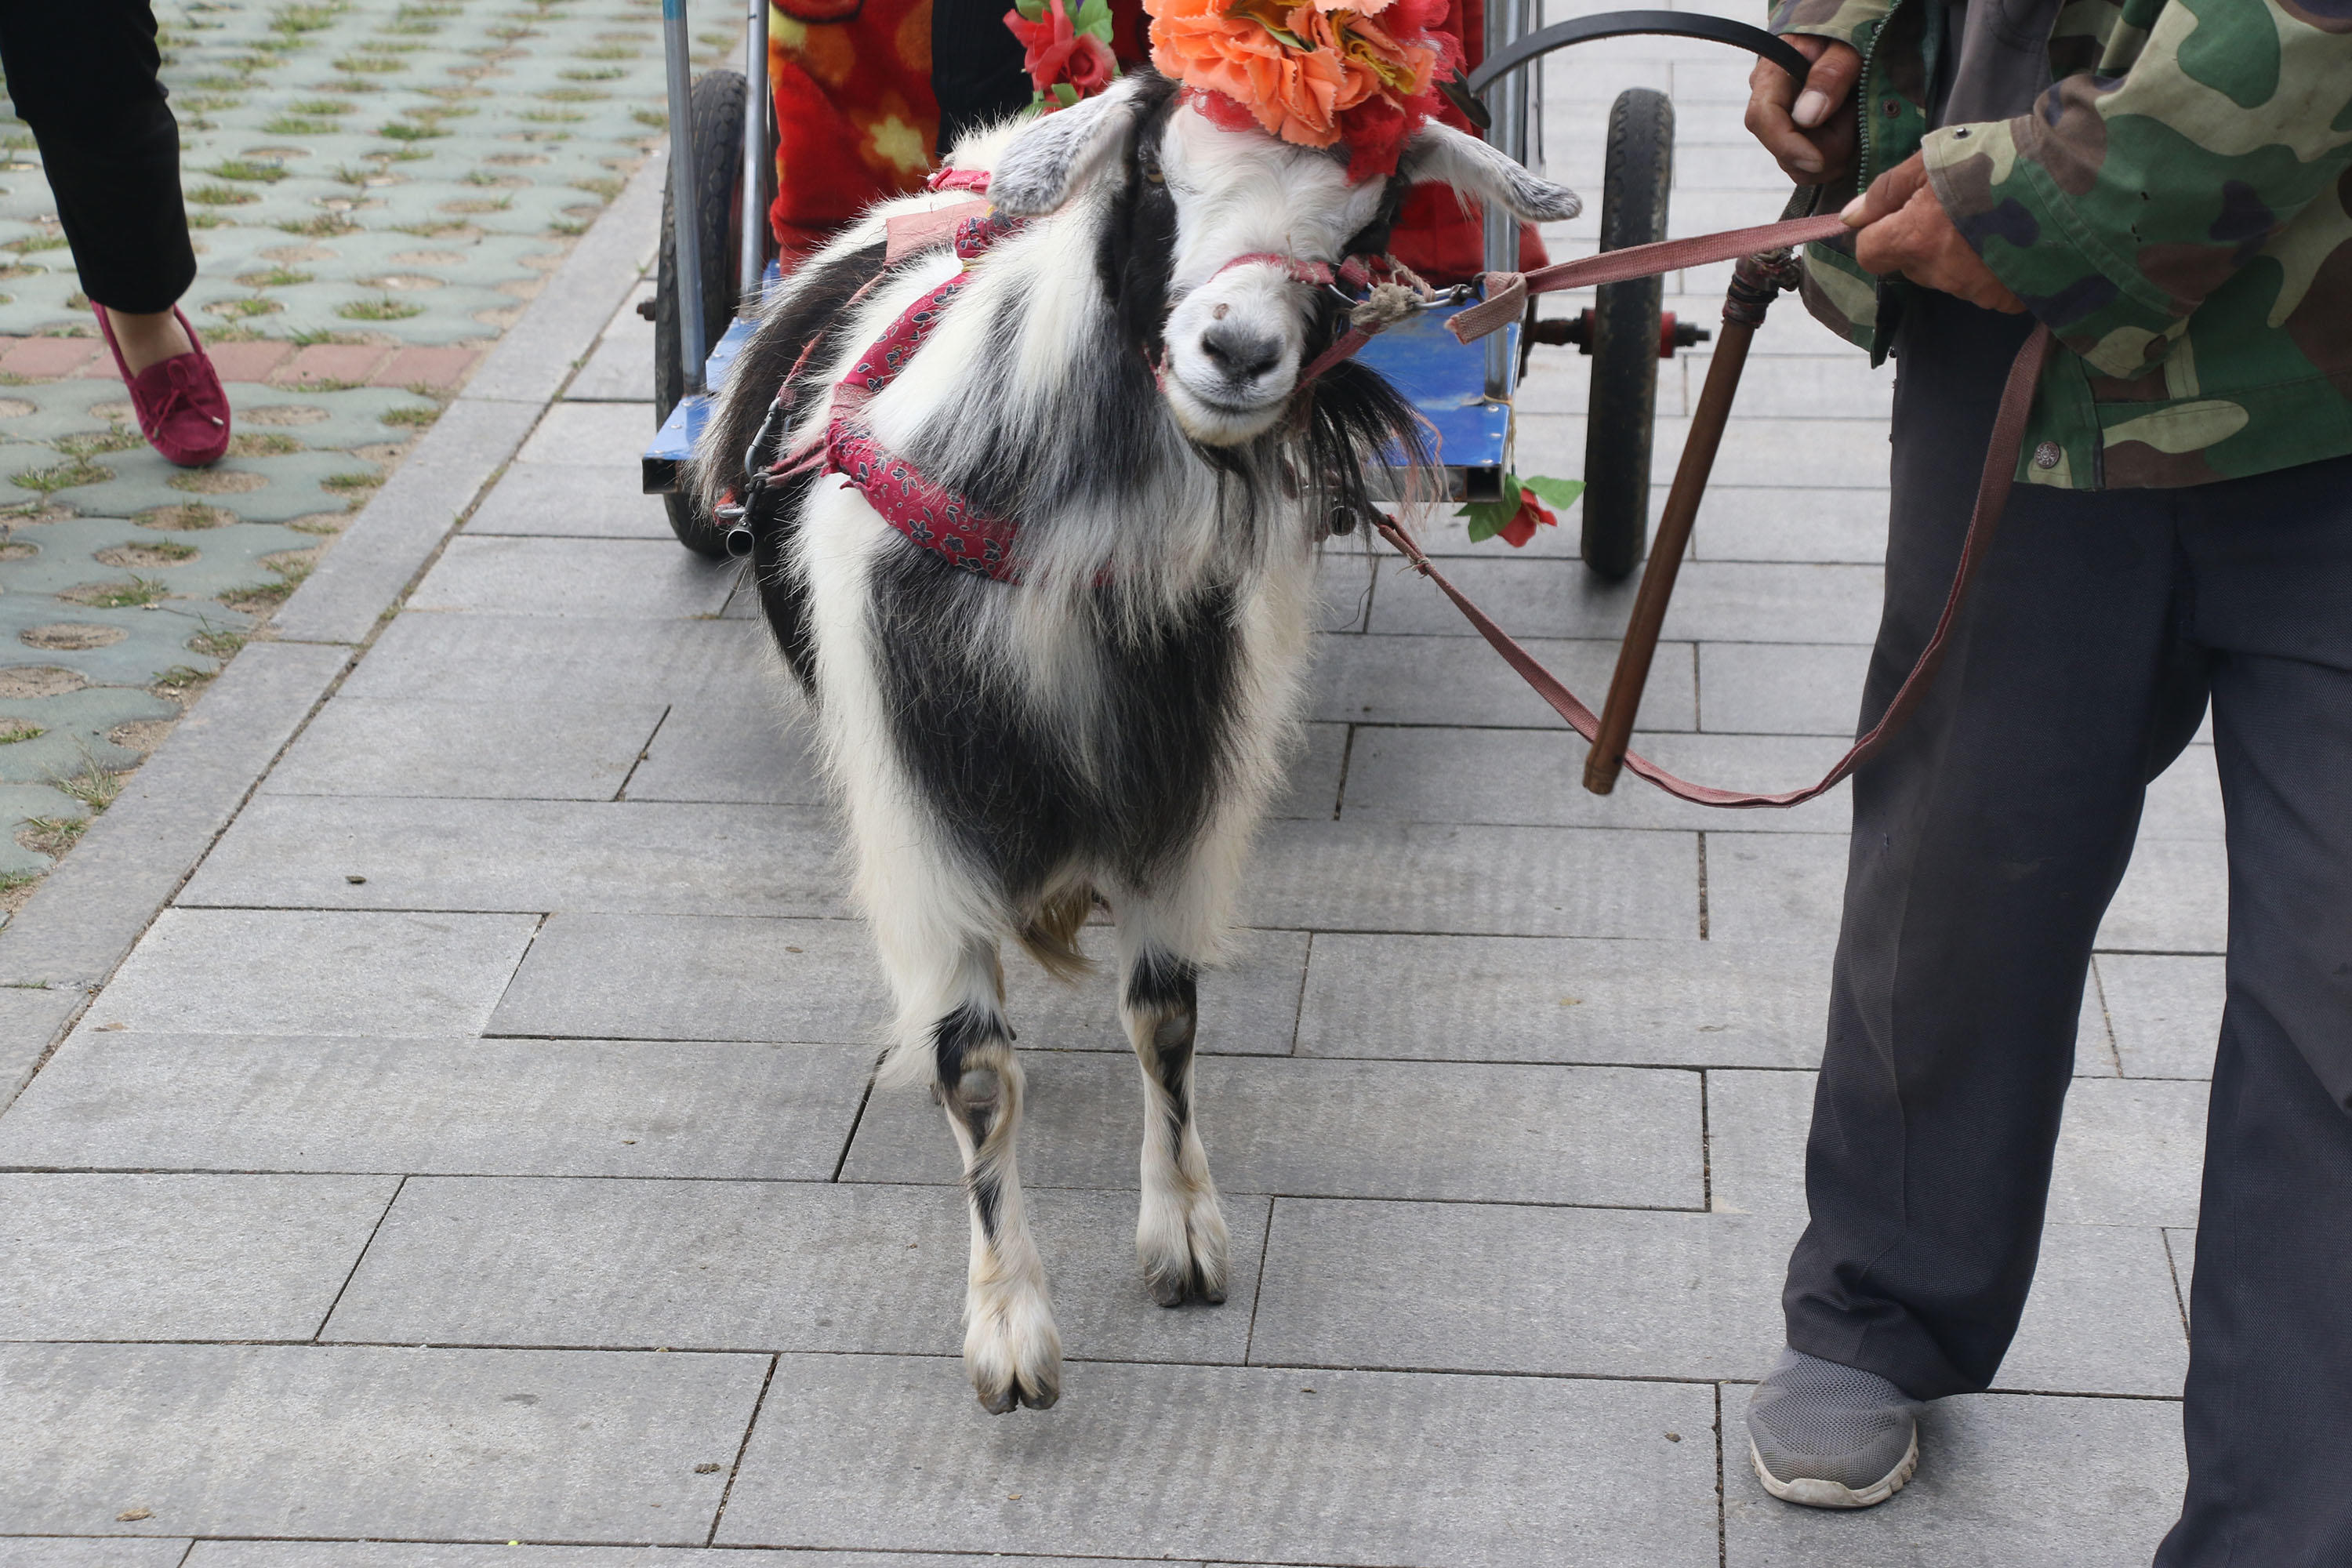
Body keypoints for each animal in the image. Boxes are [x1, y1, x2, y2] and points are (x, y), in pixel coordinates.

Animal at [696, 73, 1581, 1420]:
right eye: (1163, 173)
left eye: (1369, 218)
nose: (1238, 352)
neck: (1060, 539)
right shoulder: (924, 813)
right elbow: (974, 1068)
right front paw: (1010, 1333)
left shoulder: (1183, 783)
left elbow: (1165, 1014)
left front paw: (1186, 1240)